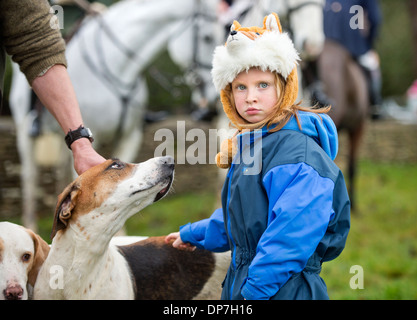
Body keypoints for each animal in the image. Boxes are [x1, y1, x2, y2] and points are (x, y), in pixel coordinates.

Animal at [8, 0, 219, 230]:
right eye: (207, 37)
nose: (212, 102)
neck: (118, 67)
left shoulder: (129, 137)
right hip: (25, 132)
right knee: (29, 178)